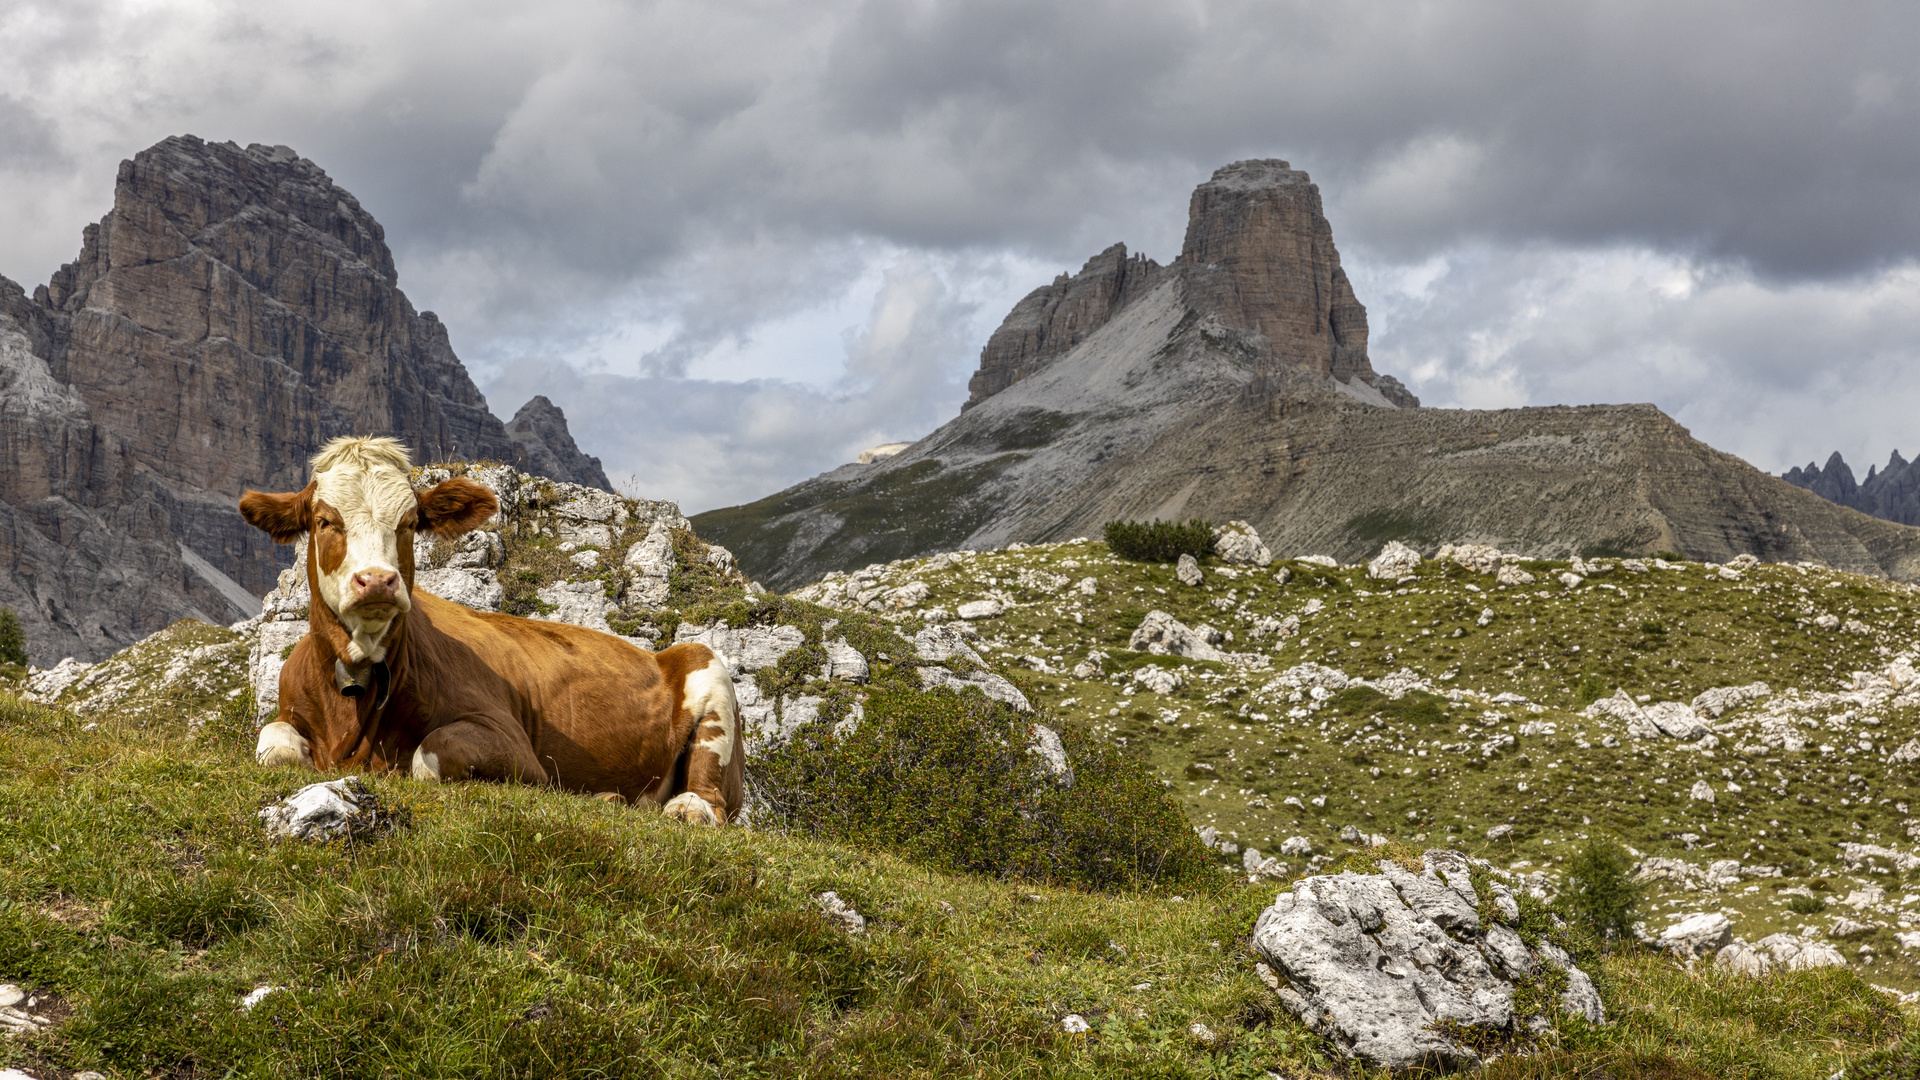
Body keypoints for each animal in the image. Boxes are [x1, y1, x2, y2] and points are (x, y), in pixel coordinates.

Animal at [243, 432, 737, 818]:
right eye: (325, 521)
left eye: (410, 523)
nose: (378, 581)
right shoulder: (288, 715)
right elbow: (274, 747)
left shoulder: (515, 747)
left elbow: (430, 753)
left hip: (708, 666)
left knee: (709, 798)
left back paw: (683, 808)